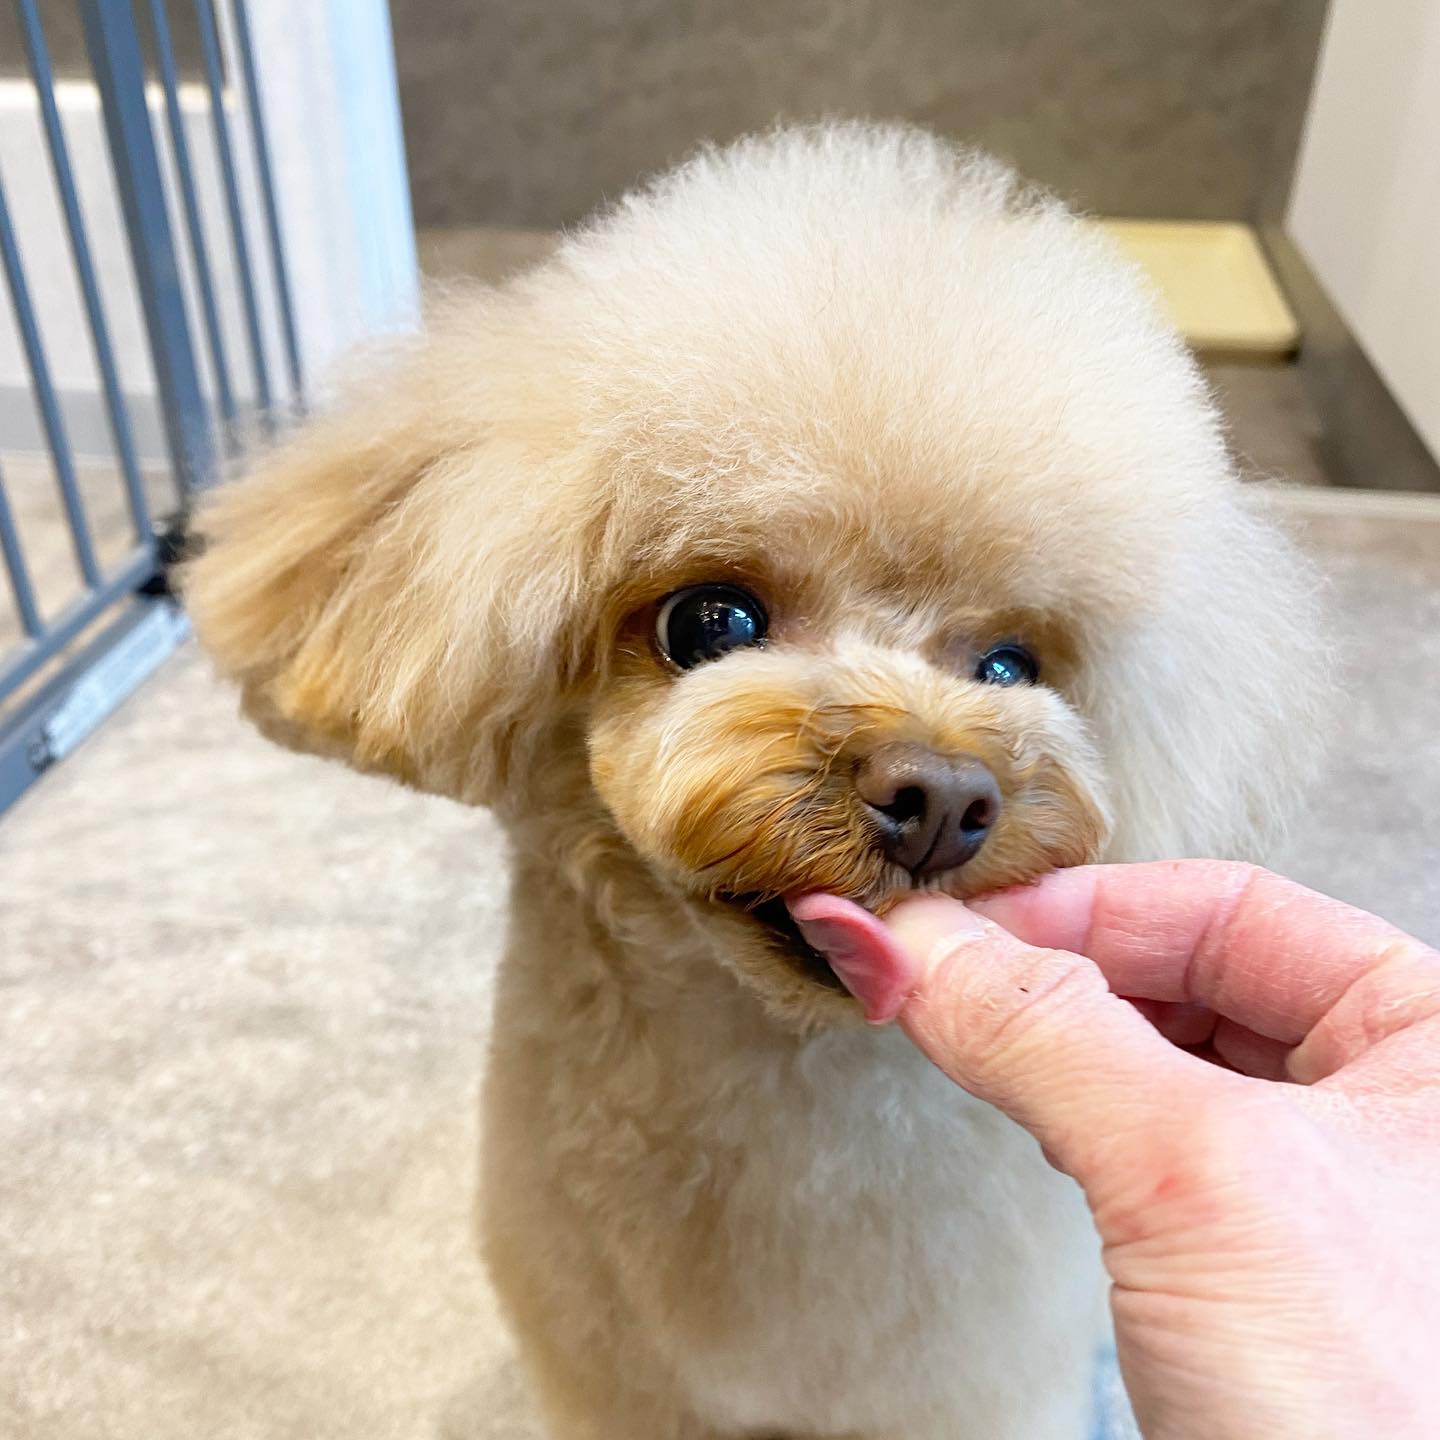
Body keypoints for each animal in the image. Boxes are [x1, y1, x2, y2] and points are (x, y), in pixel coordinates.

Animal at [186, 123, 1323, 1439]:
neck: (784, 1075)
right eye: (709, 620)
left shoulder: (972, 1389)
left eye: (1009, 664)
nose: (940, 799)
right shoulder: (615, 1381)